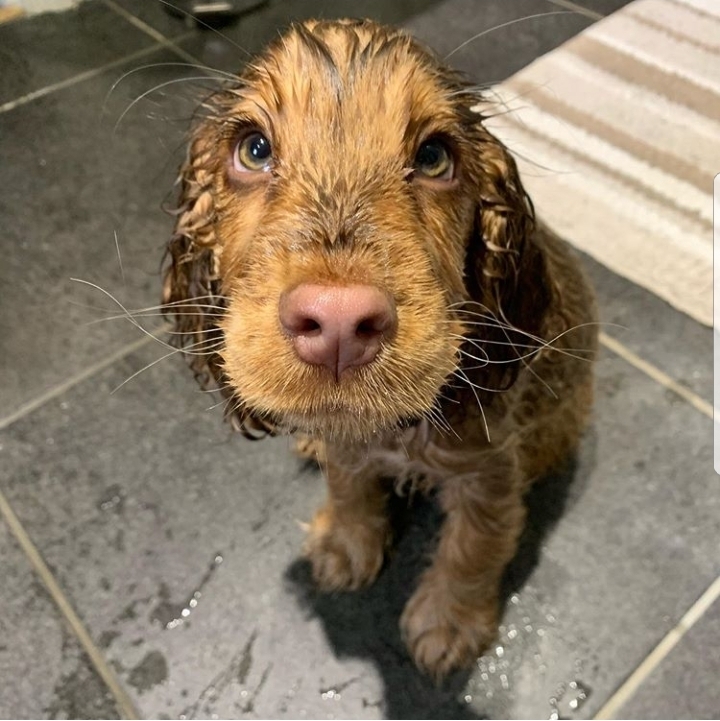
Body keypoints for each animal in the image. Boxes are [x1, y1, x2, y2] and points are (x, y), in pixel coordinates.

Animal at [163, 19, 596, 676]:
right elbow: (347, 479)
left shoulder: (489, 474)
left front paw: (449, 620)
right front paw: (346, 540)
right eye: (254, 149)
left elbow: (473, 547)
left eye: (435, 156)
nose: (338, 322)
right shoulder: (353, 448)